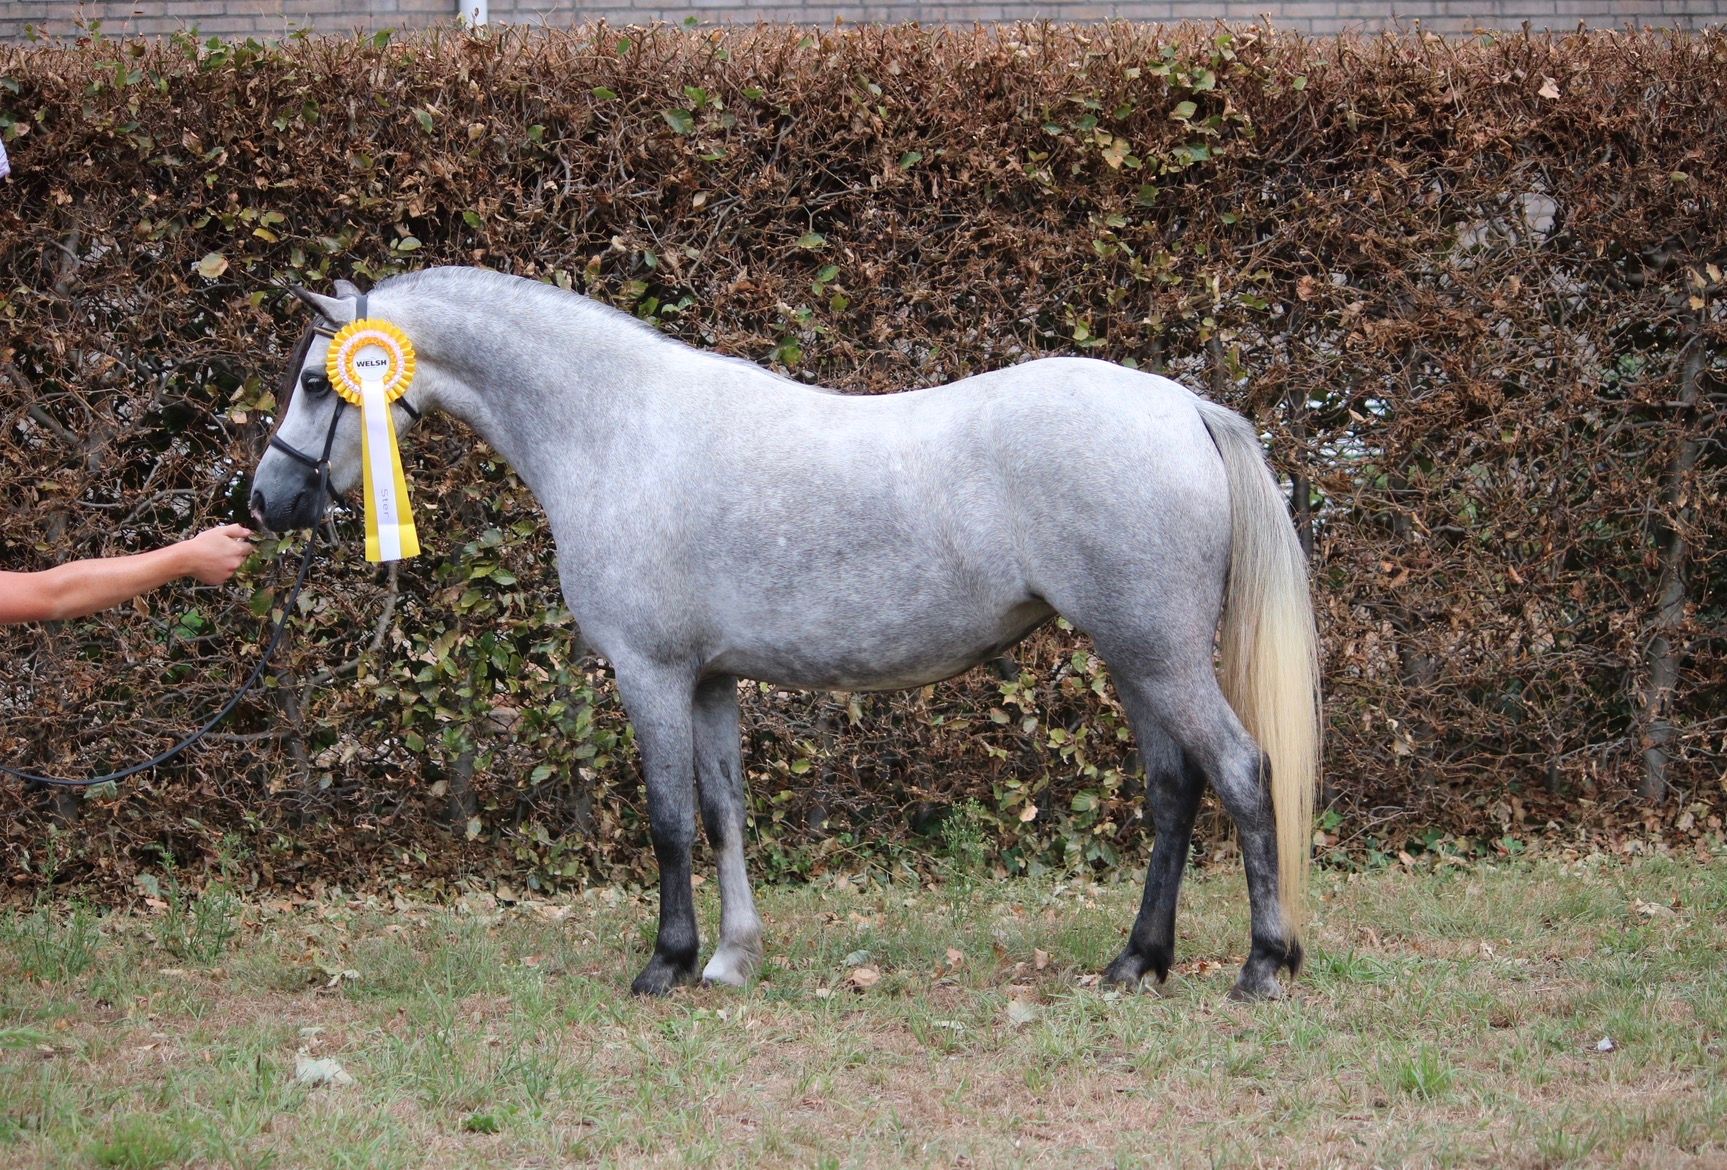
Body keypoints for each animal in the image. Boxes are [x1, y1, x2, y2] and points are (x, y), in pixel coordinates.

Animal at [250, 267, 1321, 1001]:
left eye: (316, 380)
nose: (264, 502)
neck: (615, 430)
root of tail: (1183, 406)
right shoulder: (711, 680)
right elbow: (725, 812)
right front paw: (732, 957)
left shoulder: (649, 674)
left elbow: (668, 819)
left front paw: (666, 964)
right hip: (1134, 658)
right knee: (1173, 792)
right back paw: (1136, 962)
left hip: (1157, 655)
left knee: (1240, 773)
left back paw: (1262, 966)